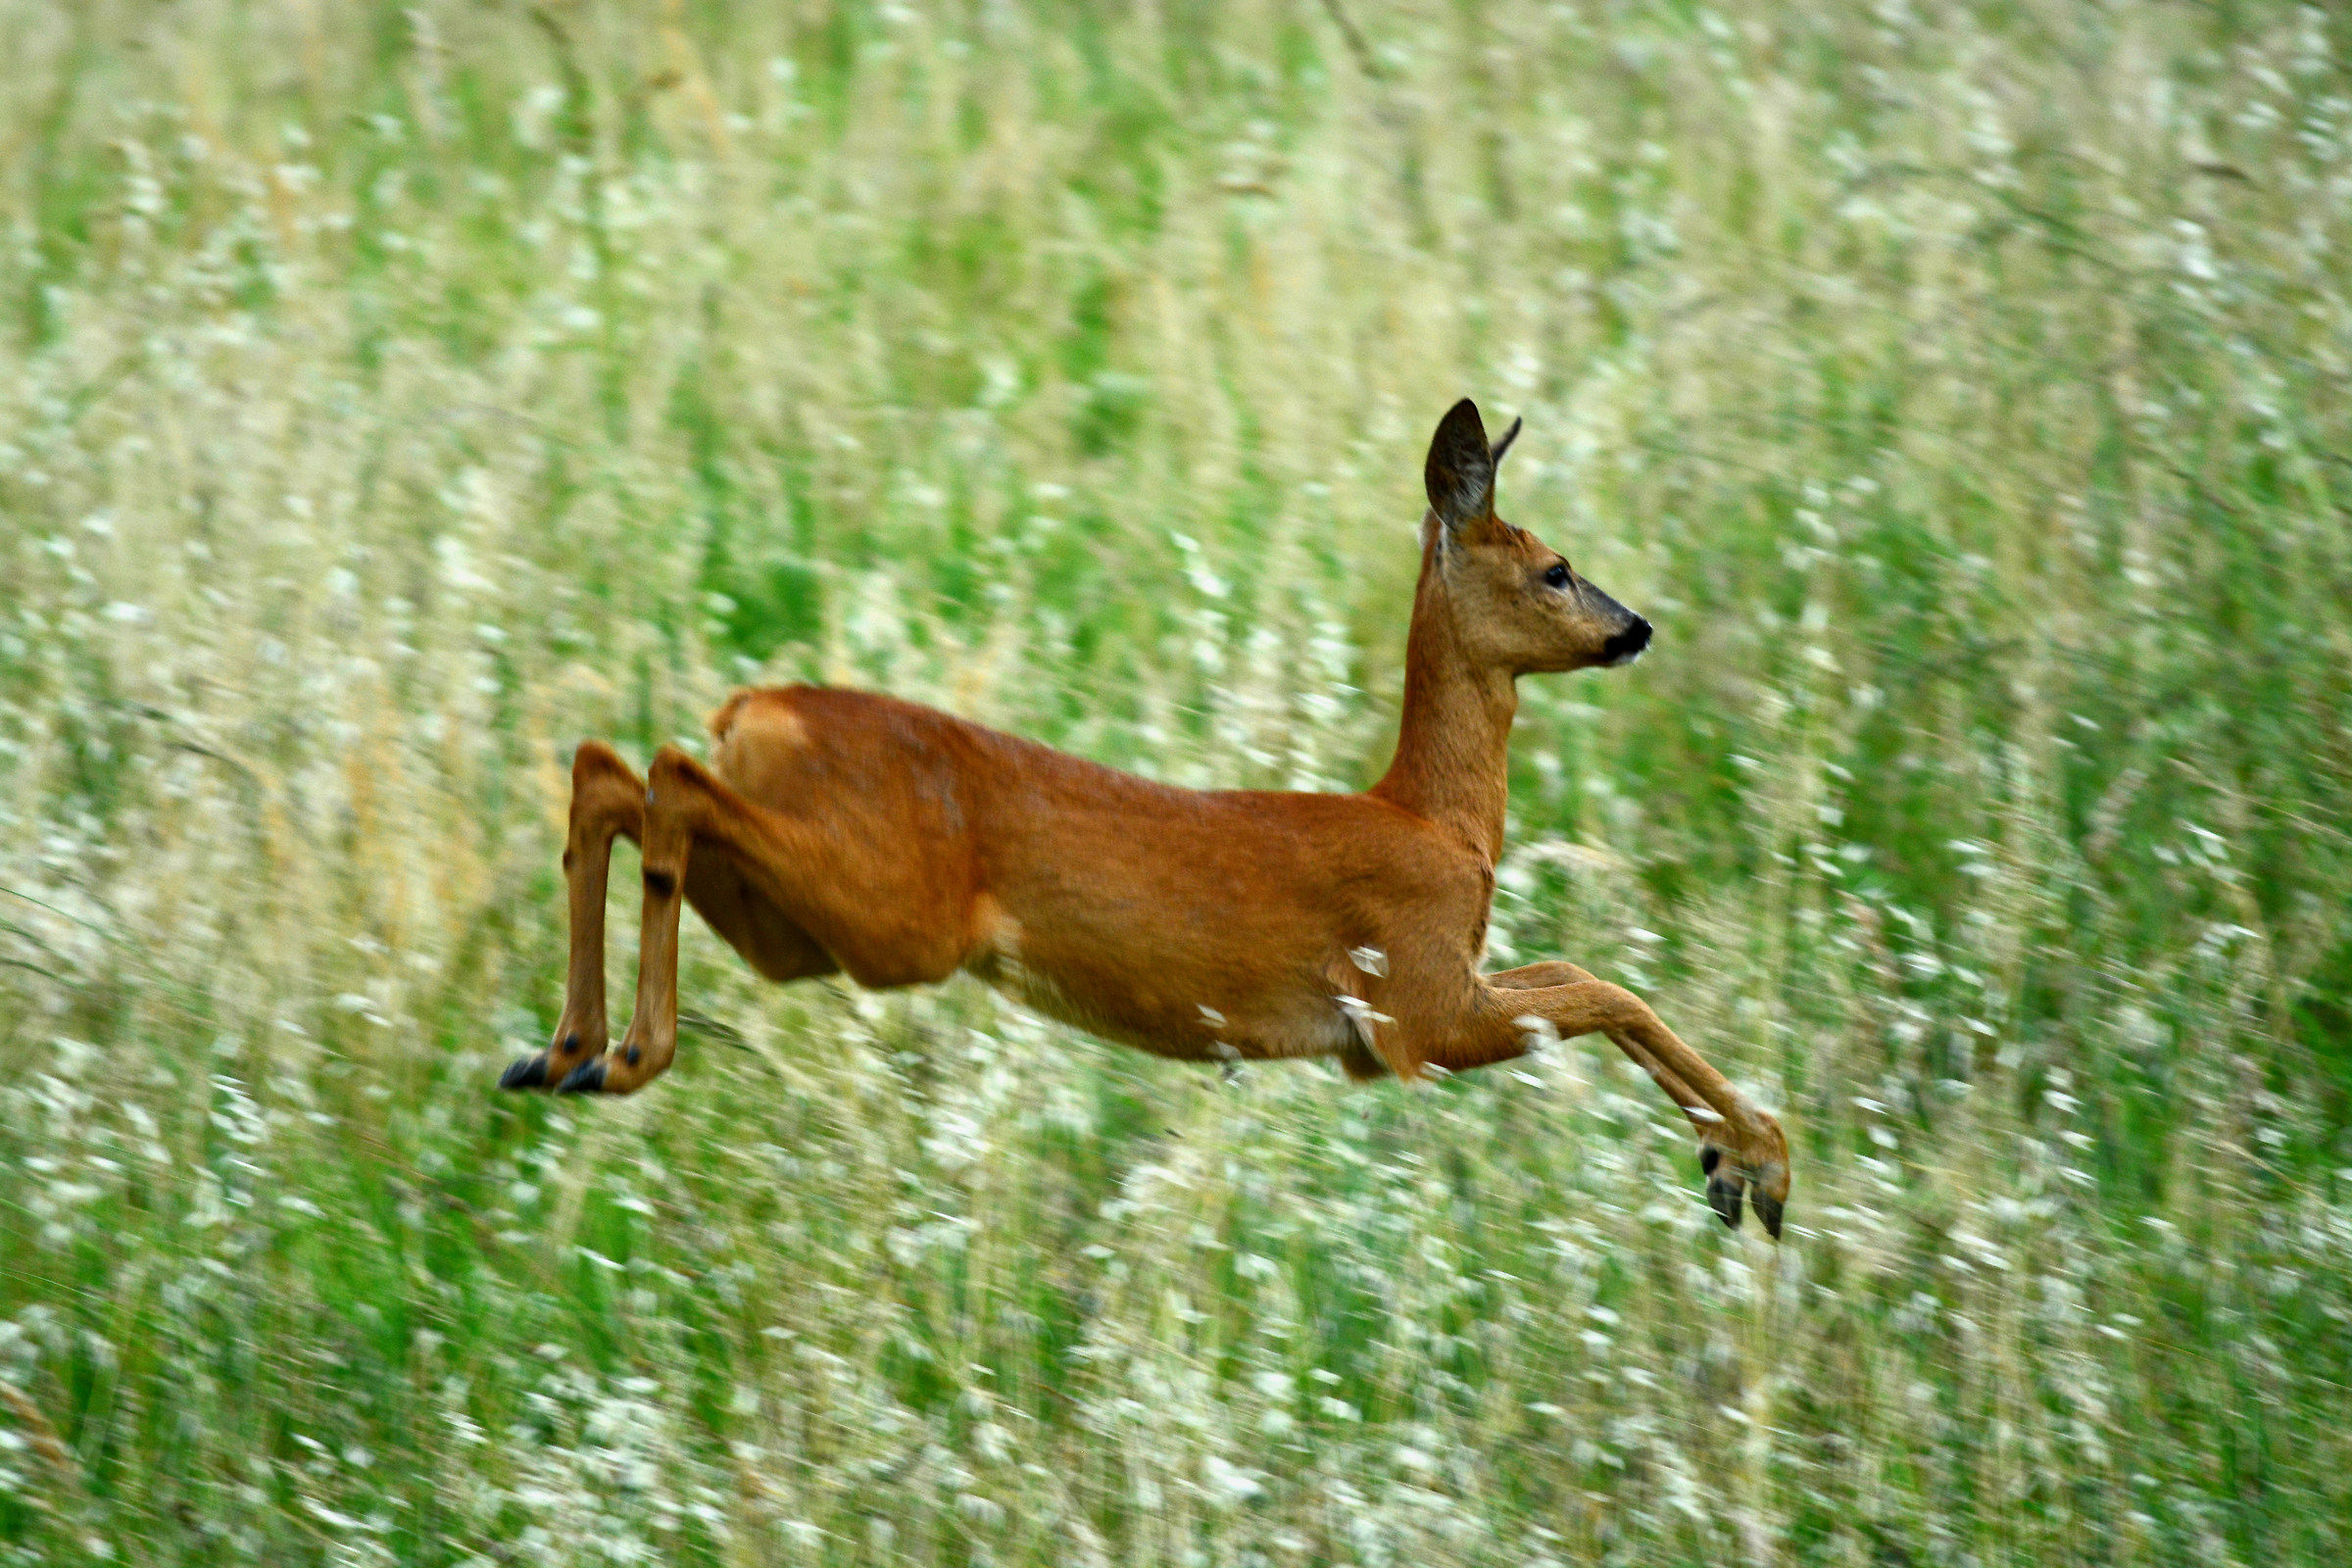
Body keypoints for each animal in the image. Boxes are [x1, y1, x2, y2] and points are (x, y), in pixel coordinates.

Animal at [500, 400, 1792, 1234]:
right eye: (1555, 567)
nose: (1635, 627)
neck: (1437, 824)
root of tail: (756, 710)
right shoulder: (1414, 1010)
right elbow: (1601, 985)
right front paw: (1762, 1165)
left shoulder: (1419, 1010)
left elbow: (1584, 974)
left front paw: (1733, 1163)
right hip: (890, 915)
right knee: (662, 774)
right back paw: (621, 1053)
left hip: (801, 931)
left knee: (614, 771)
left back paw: (561, 1053)